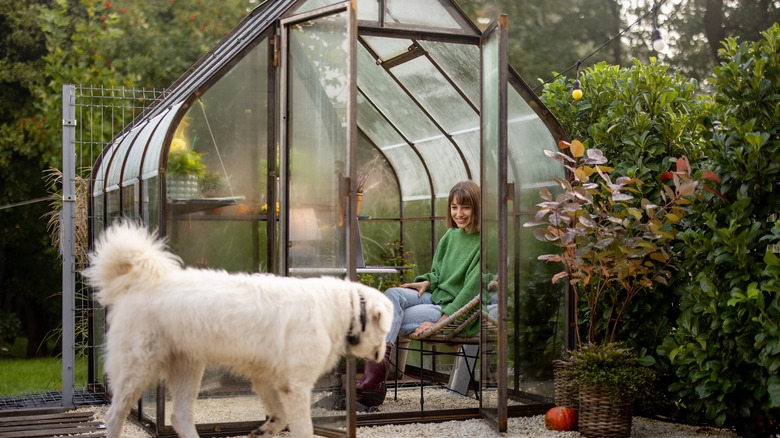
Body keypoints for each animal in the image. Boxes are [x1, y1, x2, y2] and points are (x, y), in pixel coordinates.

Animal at [84, 222, 396, 438]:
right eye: (385, 329)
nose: (383, 356)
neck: (345, 308)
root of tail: (141, 281)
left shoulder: (269, 380)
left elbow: (279, 418)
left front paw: (262, 431)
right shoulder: (295, 386)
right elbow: (302, 428)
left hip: (188, 368)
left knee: (179, 417)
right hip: (137, 369)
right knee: (114, 414)